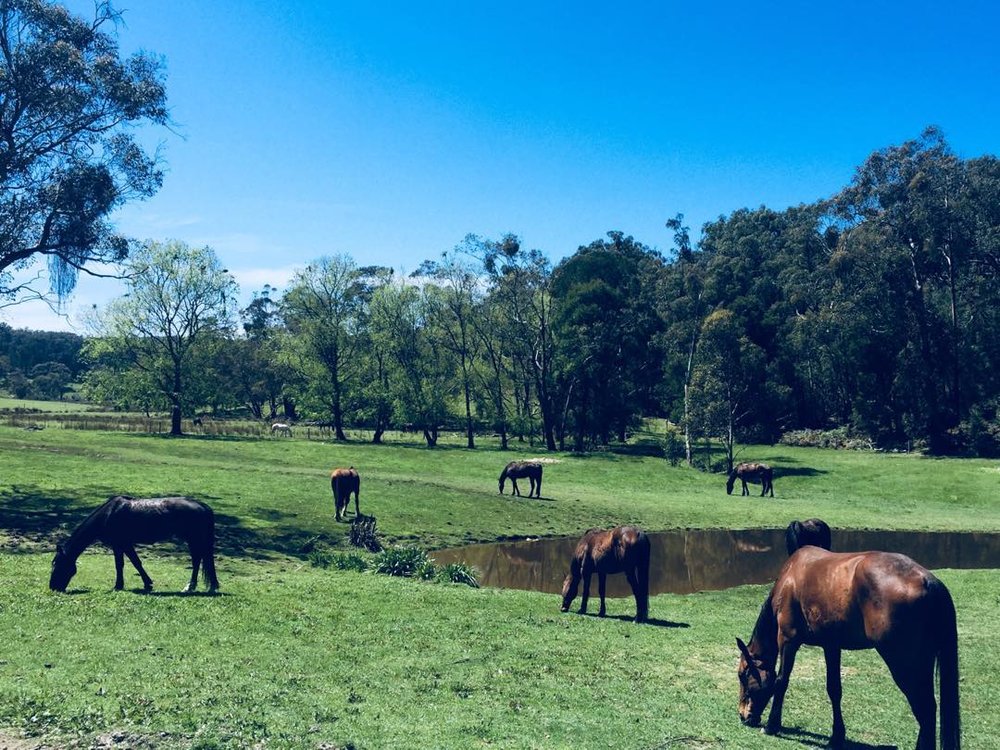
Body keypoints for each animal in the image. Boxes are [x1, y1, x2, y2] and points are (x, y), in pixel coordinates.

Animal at [49, 496, 219, 594]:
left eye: (58, 564)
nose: (53, 587)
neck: (108, 514)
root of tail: (203, 506)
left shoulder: (122, 544)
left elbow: (130, 563)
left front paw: (124, 585)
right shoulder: (121, 545)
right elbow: (128, 563)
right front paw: (139, 584)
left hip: (193, 539)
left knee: (197, 560)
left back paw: (190, 586)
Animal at [736, 546, 960, 749]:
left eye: (742, 675)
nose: (743, 715)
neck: (790, 577)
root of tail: (928, 581)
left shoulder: (787, 639)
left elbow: (781, 681)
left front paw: (772, 725)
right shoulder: (831, 645)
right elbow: (834, 688)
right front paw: (837, 736)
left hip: (903, 664)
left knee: (925, 708)